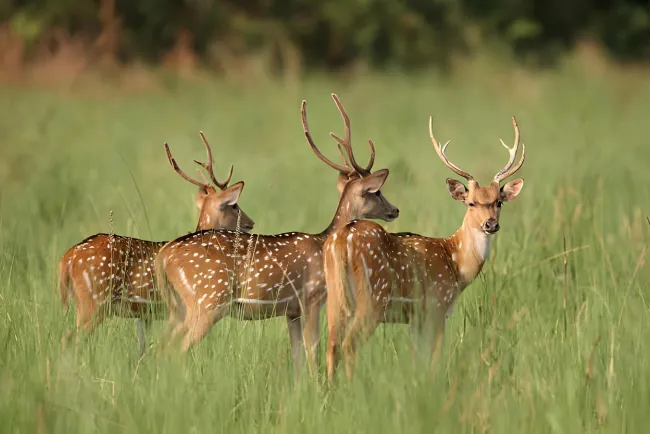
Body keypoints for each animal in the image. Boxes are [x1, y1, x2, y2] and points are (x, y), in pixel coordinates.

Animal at [57, 132, 255, 356]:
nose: (251, 223)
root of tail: (67, 258)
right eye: (235, 205)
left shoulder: (146, 316)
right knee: (68, 339)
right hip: (94, 301)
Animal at [155, 94, 400, 379]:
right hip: (207, 300)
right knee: (175, 349)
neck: (322, 243)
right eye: (377, 192)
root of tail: (164, 255)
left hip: (179, 307)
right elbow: (313, 351)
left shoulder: (291, 311)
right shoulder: (311, 297)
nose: (395, 209)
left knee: (162, 345)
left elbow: (297, 357)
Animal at [323, 116, 526, 382]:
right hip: (373, 296)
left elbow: (416, 359)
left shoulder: (416, 318)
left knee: (331, 345)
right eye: (471, 203)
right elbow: (435, 358)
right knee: (349, 344)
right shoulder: (437, 306)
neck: (456, 264)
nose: (491, 224)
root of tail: (340, 240)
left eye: (499, 202)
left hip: (334, 297)